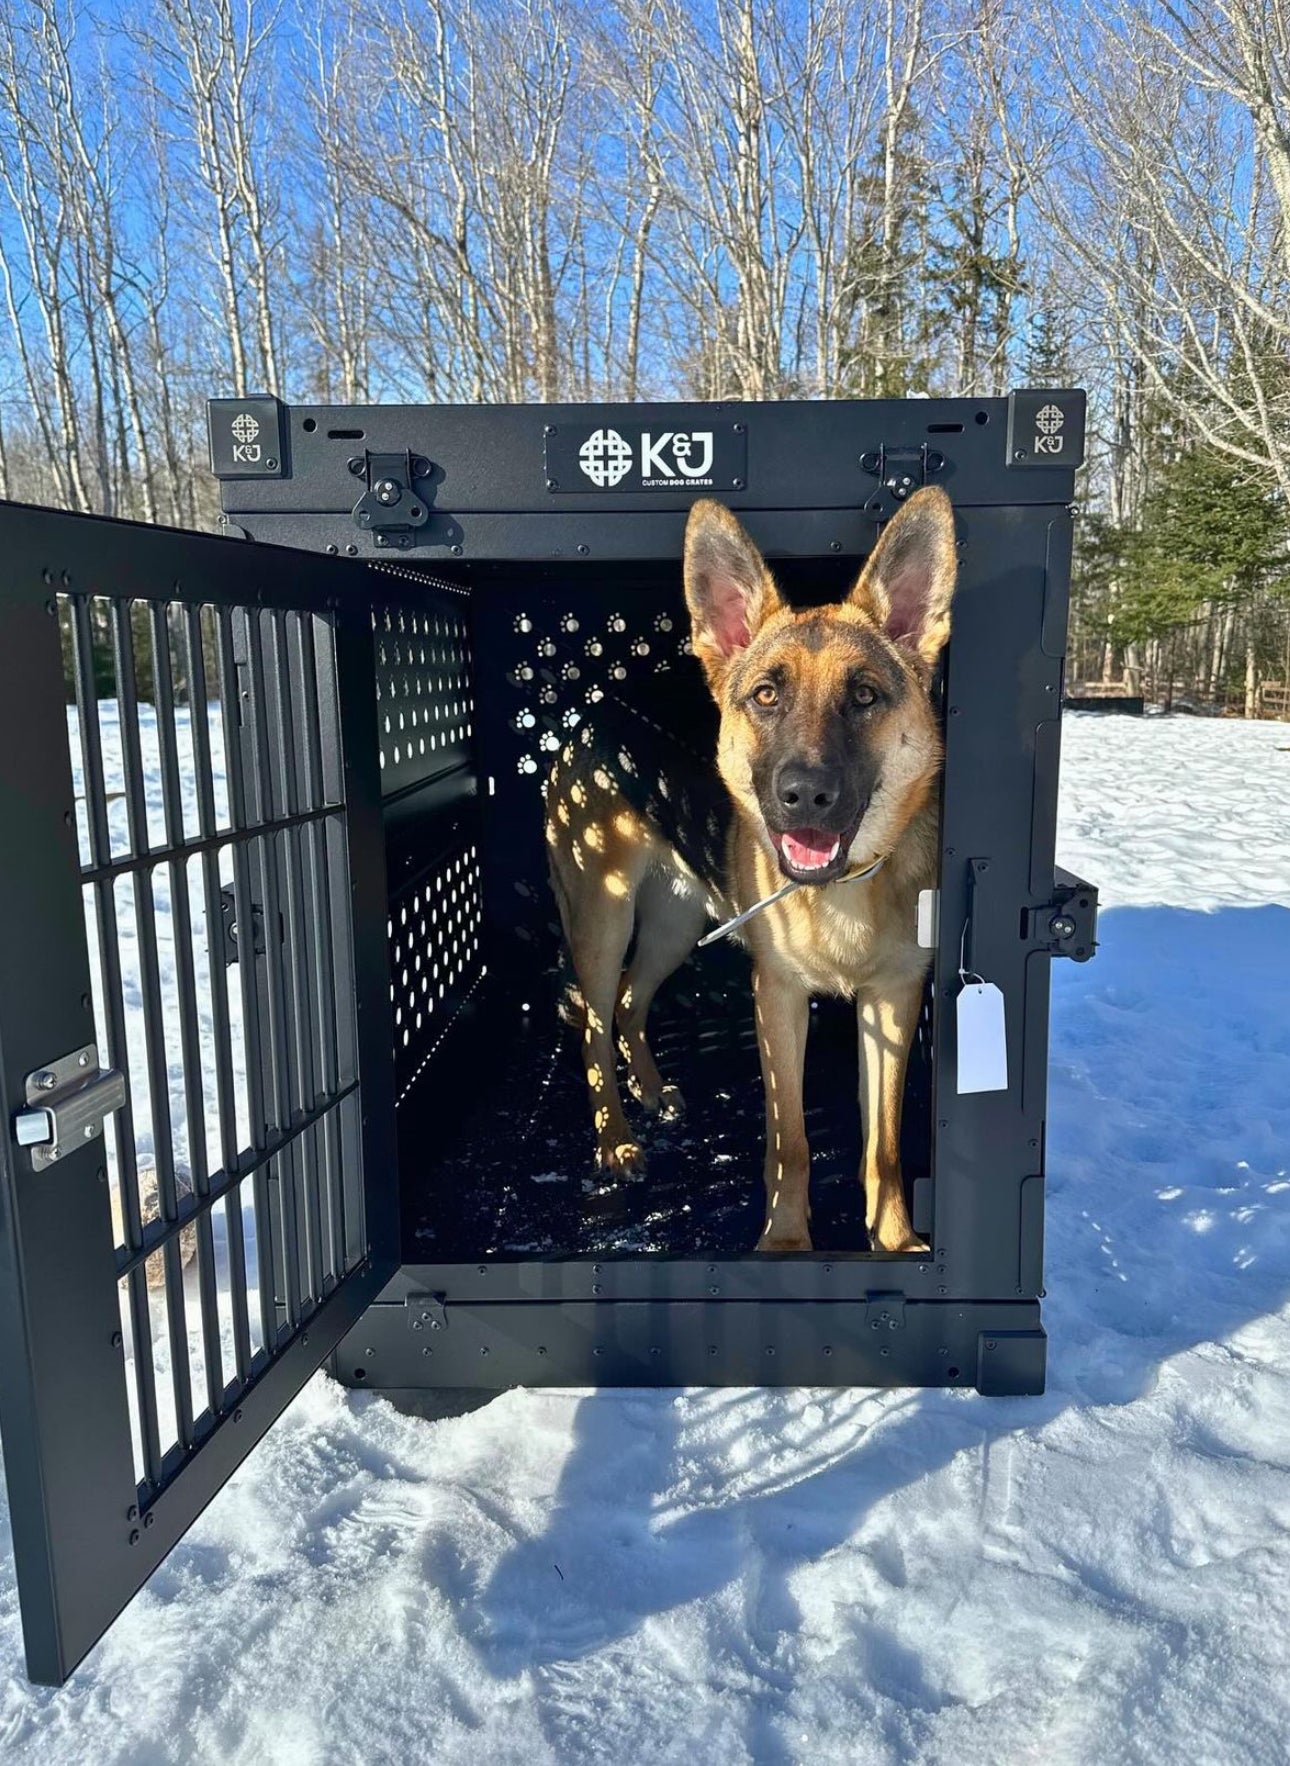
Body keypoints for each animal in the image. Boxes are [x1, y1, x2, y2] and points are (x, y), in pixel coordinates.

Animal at [544, 487, 954, 1257]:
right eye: (766, 695)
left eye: (864, 696)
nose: (804, 795)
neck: (841, 892)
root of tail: (597, 710)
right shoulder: (779, 997)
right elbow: (790, 1141)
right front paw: (786, 1242)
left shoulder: (892, 999)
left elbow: (883, 1145)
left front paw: (891, 1240)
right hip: (602, 920)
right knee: (592, 1025)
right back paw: (615, 1138)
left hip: (674, 924)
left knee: (629, 1003)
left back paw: (651, 1090)